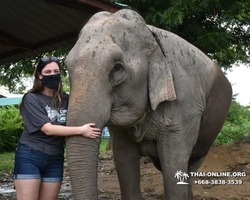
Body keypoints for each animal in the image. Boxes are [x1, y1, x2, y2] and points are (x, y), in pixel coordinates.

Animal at [65, 8, 232, 199]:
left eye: (117, 68)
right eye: (66, 66)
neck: (152, 36)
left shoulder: (186, 105)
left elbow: (174, 162)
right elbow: (124, 158)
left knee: (191, 165)